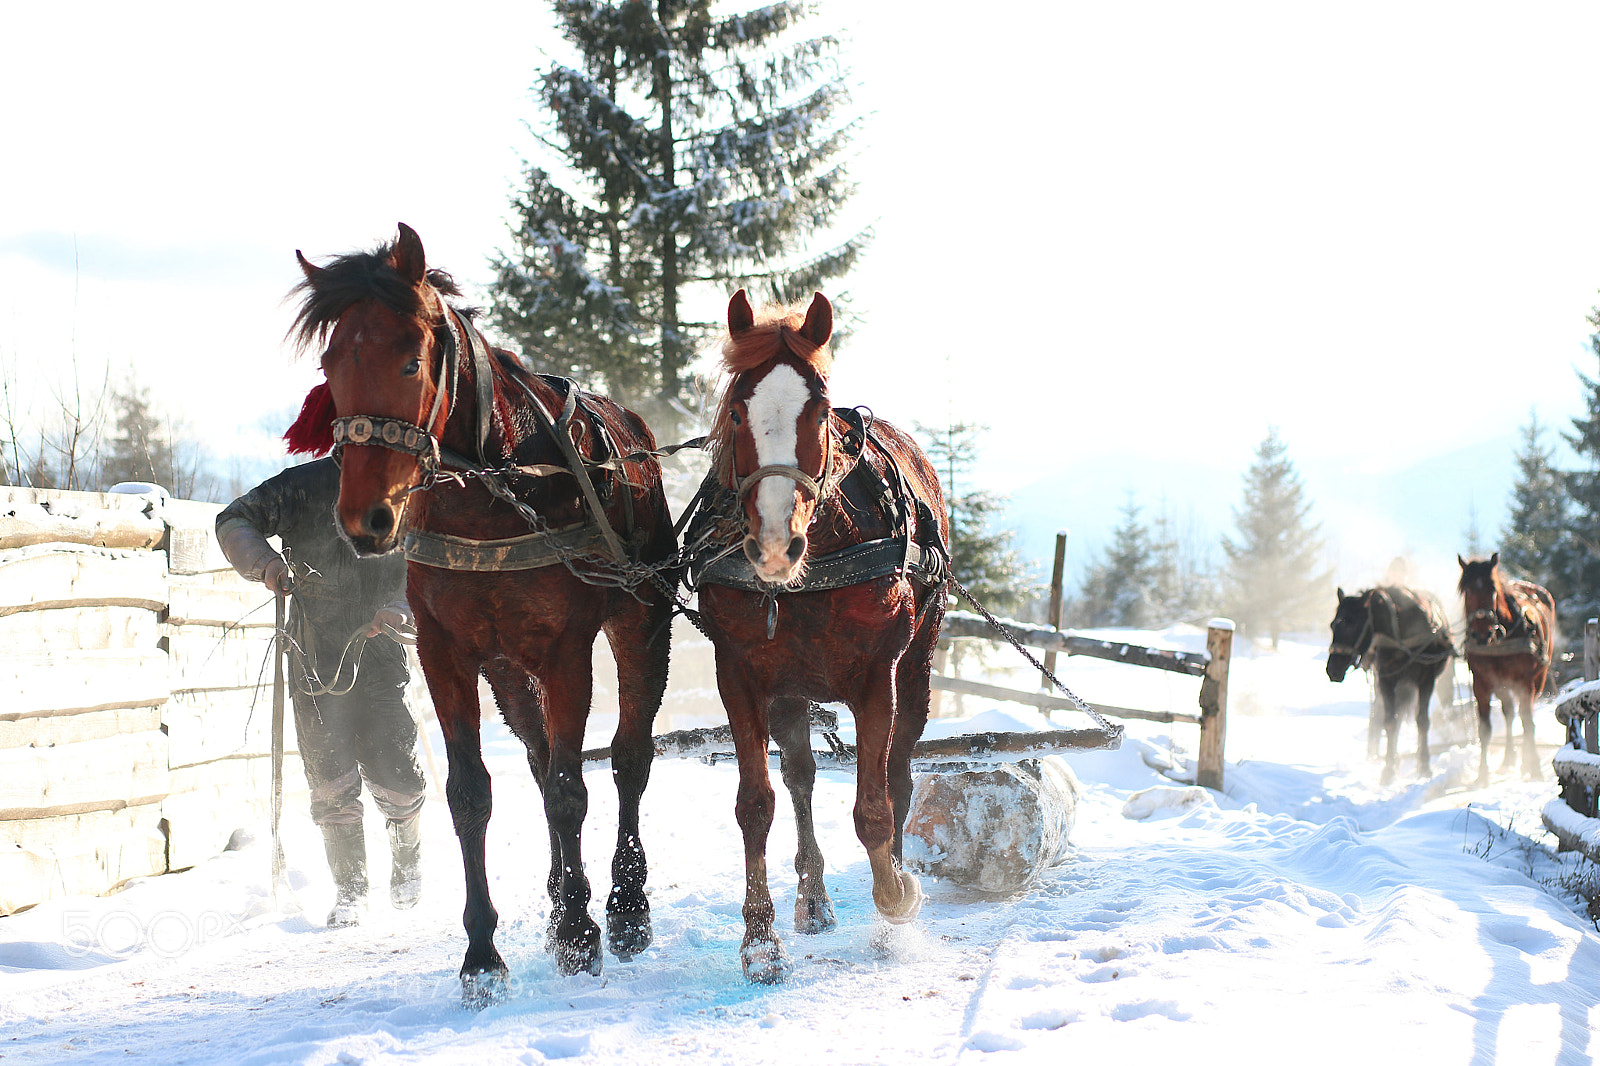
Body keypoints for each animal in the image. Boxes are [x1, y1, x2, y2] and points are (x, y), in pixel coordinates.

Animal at [285, 224, 675, 1001]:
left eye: (410, 360)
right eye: (331, 363)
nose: (366, 519)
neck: (498, 492)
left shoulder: (566, 650)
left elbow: (570, 791)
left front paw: (582, 932)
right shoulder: (446, 651)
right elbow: (472, 794)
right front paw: (483, 954)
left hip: (642, 624)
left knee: (627, 760)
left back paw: (623, 906)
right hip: (506, 670)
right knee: (538, 758)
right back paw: (561, 897)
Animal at [679, 289, 950, 983]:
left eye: (820, 409)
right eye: (738, 409)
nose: (776, 545)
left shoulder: (877, 674)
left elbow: (875, 805)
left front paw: (895, 898)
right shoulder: (739, 675)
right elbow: (756, 804)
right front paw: (760, 942)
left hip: (917, 666)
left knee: (899, 770)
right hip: (790, 691)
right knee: (800, 777)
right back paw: (814, 899)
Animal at [1325, 585, 1455, 785]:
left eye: (1352, 623)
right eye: (1333, 625)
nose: (1333, 669)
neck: (1402, 634)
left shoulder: (1426, 680)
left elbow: (1422, 721)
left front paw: (1424, 766)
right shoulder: (1386, 680)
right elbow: (1390, 722)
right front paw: (1388, 769)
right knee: (1389, 717)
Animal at [1457, 552, 1555, 785]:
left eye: (1492, 589)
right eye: (1467, 590)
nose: (1481, 634)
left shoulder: (1524, 682)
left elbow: (1527, 722)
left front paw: (1534, 767)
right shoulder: (1481, 683)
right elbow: (1484, 729)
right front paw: (1482, 774)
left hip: (1538, 678)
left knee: (1524, 714)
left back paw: (1526, 760)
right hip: (1501, 684)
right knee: (1509, 712)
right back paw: (1509, 758)